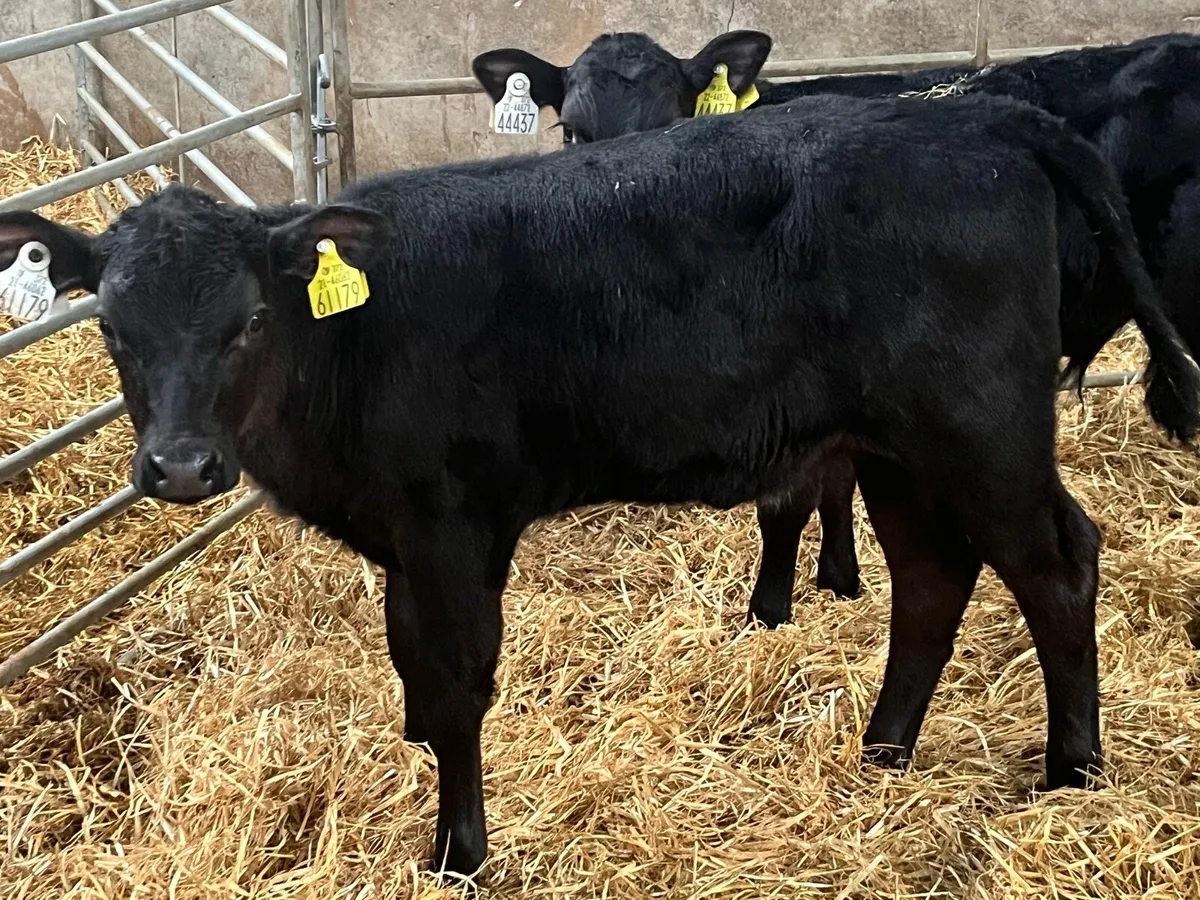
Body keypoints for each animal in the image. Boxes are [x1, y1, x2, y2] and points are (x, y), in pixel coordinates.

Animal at [3, 94, 1198, 875]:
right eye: (111, 326)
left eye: (250, 321)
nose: (181, 466)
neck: (354, 341)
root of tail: (980, 116)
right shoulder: (403, 536)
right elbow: (409, 667)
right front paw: (416, 760)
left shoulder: (454, 526)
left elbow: (456, 683)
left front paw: (459, 851)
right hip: (900, 451)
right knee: (933, 579)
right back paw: (884, 749)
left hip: (981, 432)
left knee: (1056, 564)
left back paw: (1072, 771)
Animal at [474, 30, 1200, 627]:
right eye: (572, 132)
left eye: (673, 124)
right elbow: (836, 481)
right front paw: (840, 578)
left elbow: (789, 502)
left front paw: (770, 609)